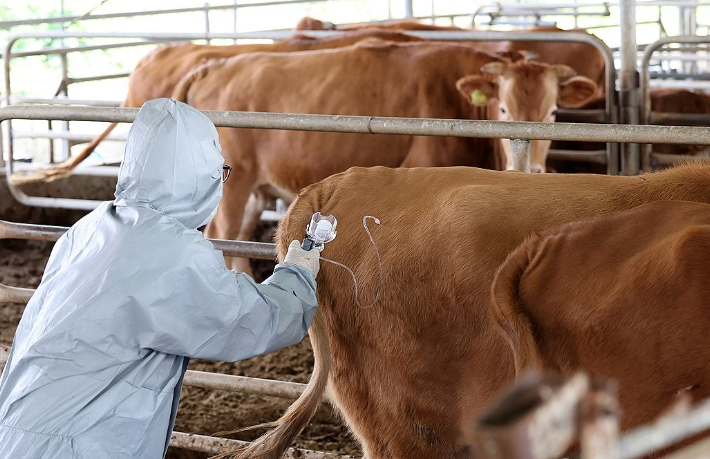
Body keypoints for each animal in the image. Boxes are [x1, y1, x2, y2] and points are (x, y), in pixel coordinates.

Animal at [174, 39, 600, 272]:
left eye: (553, 112)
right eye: (504, 109)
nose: (533, 169)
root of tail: (215, 63)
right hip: (235, 183)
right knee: (223, 234)